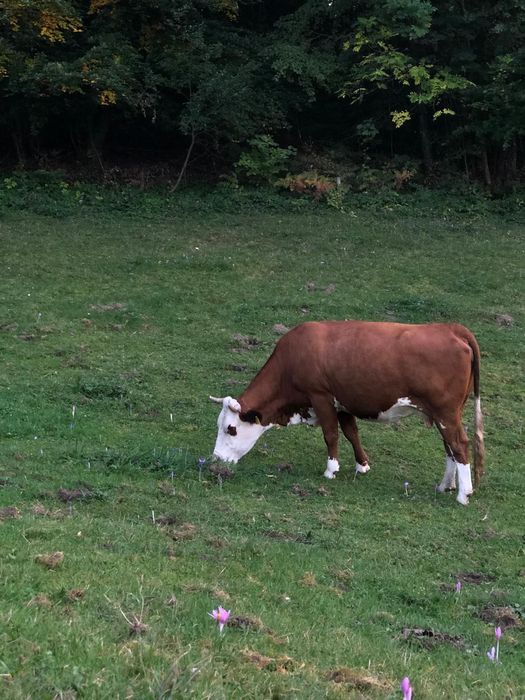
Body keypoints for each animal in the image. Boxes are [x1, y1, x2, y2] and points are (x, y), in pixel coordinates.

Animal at [210, 321, 484, 505]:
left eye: (231, 429)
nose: (216, 460)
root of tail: (451, 328)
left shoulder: (320, 396)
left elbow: (331, 434)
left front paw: (331, 470)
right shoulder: (342, 403)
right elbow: (352, 433)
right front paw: (362, 466)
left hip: (445, 413)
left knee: (459, 445)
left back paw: (463, 494)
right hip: (444, 415)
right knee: (450, 447)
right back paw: (444, 485)